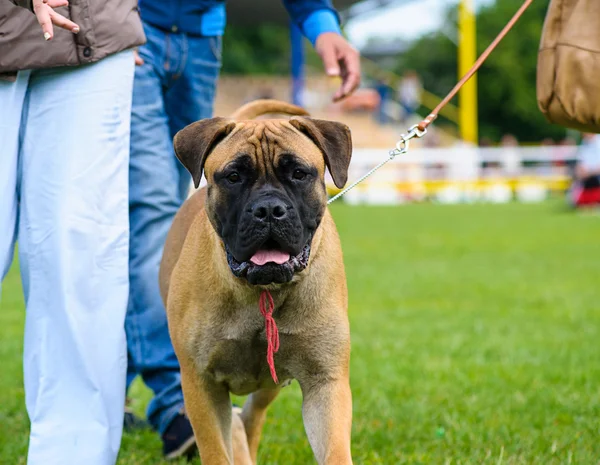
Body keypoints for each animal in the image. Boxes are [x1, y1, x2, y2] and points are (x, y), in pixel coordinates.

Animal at [159, 99, 354, 464]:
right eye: (234, 177)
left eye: (299, 174)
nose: (268, 209)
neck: (263, 292)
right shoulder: (201, 384)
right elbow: (216, 451)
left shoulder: (325, 381)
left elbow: (334, 450)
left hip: (270, 383)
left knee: (250, 416)